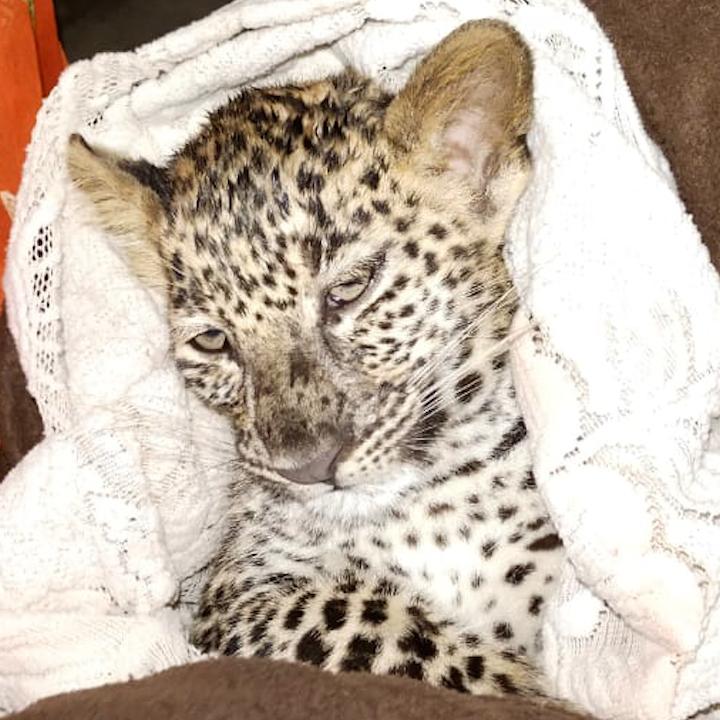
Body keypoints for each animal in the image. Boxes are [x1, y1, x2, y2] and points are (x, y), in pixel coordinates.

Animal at [67, 20, 564, 699]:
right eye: (213, 341)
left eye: (349, 290)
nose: (307, 468)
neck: (425, 514)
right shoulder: (232, 603)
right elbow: (355, 614)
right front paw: (526, 689)